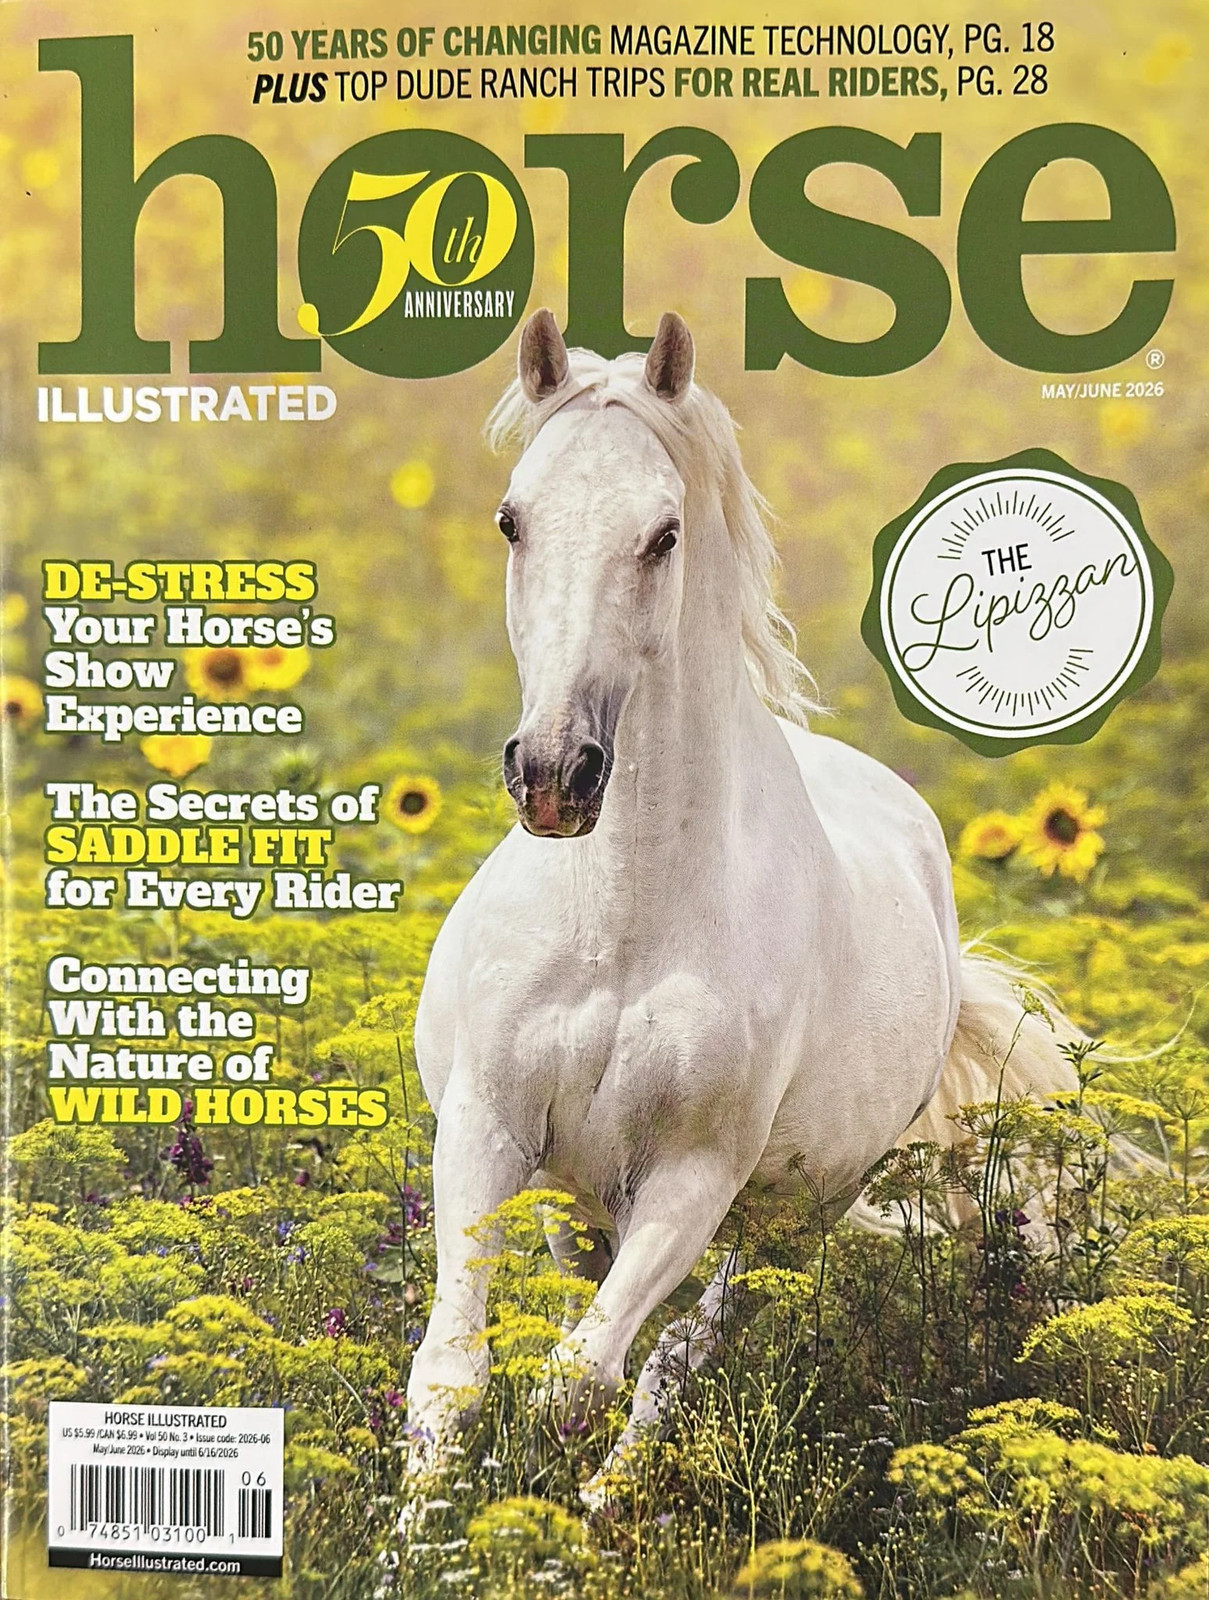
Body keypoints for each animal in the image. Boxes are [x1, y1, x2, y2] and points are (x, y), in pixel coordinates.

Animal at [405, 308, 1077, 1482]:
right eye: (511, 521)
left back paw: (609, 1500)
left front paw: (539, 1517)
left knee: (671, 1360)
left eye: (664, 534)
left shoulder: (692, 1179)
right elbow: (453, 1376)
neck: (622, 922)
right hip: (576, 1198)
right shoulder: (487, 1133)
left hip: (791, 1221)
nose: (554, 773)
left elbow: (578, 1384)